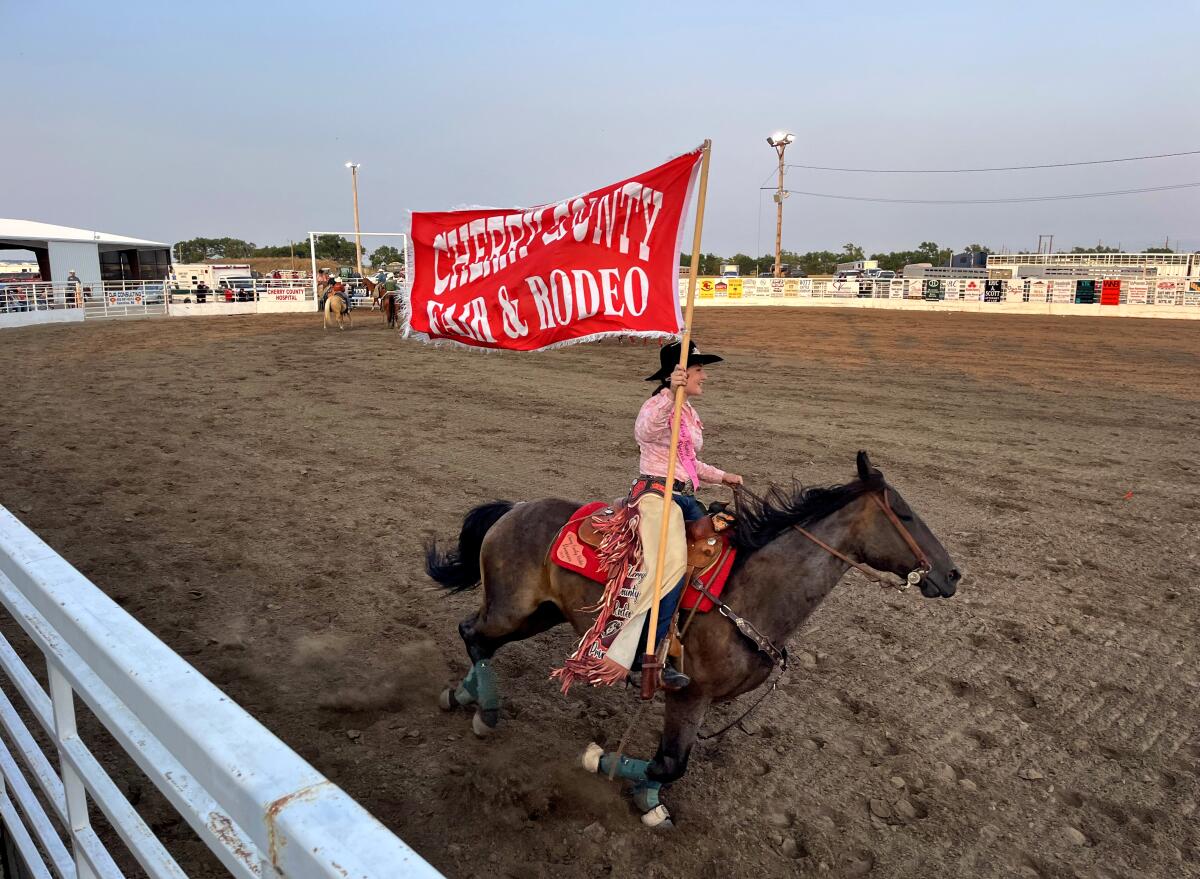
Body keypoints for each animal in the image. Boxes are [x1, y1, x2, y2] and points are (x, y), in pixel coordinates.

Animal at [427, 449, 960, 826]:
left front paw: (647, 801)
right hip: (512, 610)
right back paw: (484, 710)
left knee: (476, 637)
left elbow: (667, 765)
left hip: (539, 614)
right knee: (473, 634)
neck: (752, 591)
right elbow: (669, 763)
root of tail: (514, 508)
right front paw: (601, 763)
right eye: (905, 515)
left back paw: (464, 697)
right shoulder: (688, 694)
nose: (952, 575)